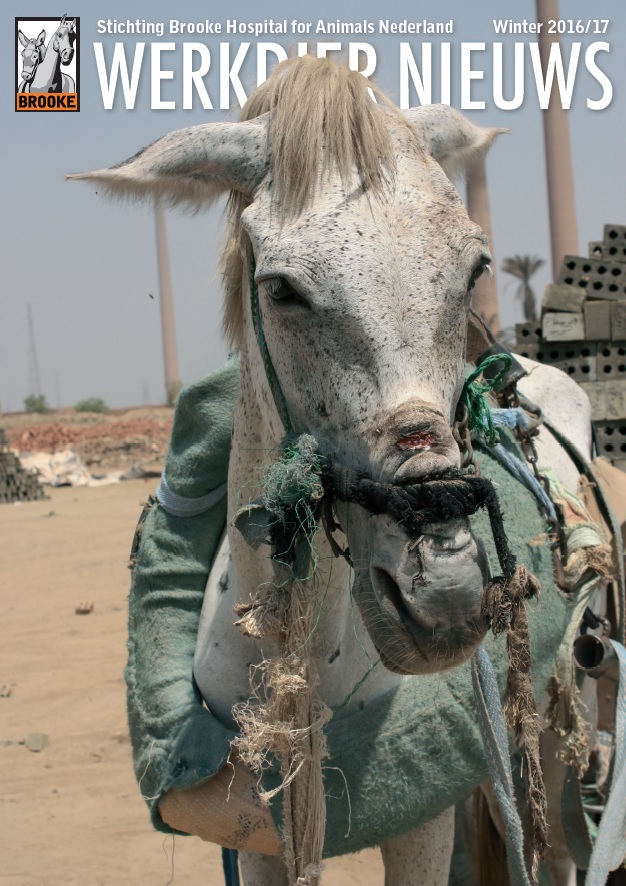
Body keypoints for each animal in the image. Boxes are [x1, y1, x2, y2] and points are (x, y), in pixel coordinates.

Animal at [69, 59, 616, 884]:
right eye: (281, 290)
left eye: (476, 269)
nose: (442, 597)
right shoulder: (258, 831)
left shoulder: (421, 825)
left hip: (557, 733)